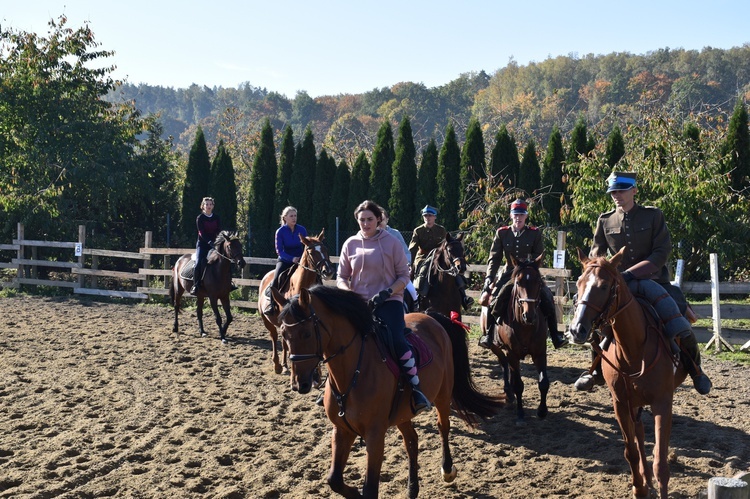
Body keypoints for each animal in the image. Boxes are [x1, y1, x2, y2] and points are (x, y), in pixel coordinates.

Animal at [258, 230, 334, 376]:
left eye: (325, 249)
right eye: (311, 252)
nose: (327, 271)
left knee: (284, 342)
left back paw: (284, 364)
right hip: (266, 319)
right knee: (274, 337)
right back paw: (277, 365)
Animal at [276, 286, 506, 499]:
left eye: (306, 333)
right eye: (284, 335)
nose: (299, 384)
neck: (353, 374)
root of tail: (431, 317)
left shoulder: (375, 435)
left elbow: (369, 489)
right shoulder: (342, 430)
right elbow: (334, 479)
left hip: (442, 395)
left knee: (443, 427)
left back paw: (447, 469)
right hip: (402, 413)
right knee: (412, 441)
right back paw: (412, 489)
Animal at [482, 258, 552, 426]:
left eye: (538, 282)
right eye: (518, 283)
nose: (529, 315)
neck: (524, 325)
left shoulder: (540, 352)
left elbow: (544, 382)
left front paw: (542, 411)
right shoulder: (512, 353)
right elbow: (519, 385)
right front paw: (520, 414)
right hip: (496, 348)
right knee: (504, 364)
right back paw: (508, 394)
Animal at [568, 248, 688, 498]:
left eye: (604, 286)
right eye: (579, 282)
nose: (576, 330)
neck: (634, 349)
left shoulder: (663, 403)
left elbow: (661, 462)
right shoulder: (621, 403)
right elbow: (630, 450)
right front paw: (639, 488)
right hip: (634, 402)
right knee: (639, 434)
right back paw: (645, 479)